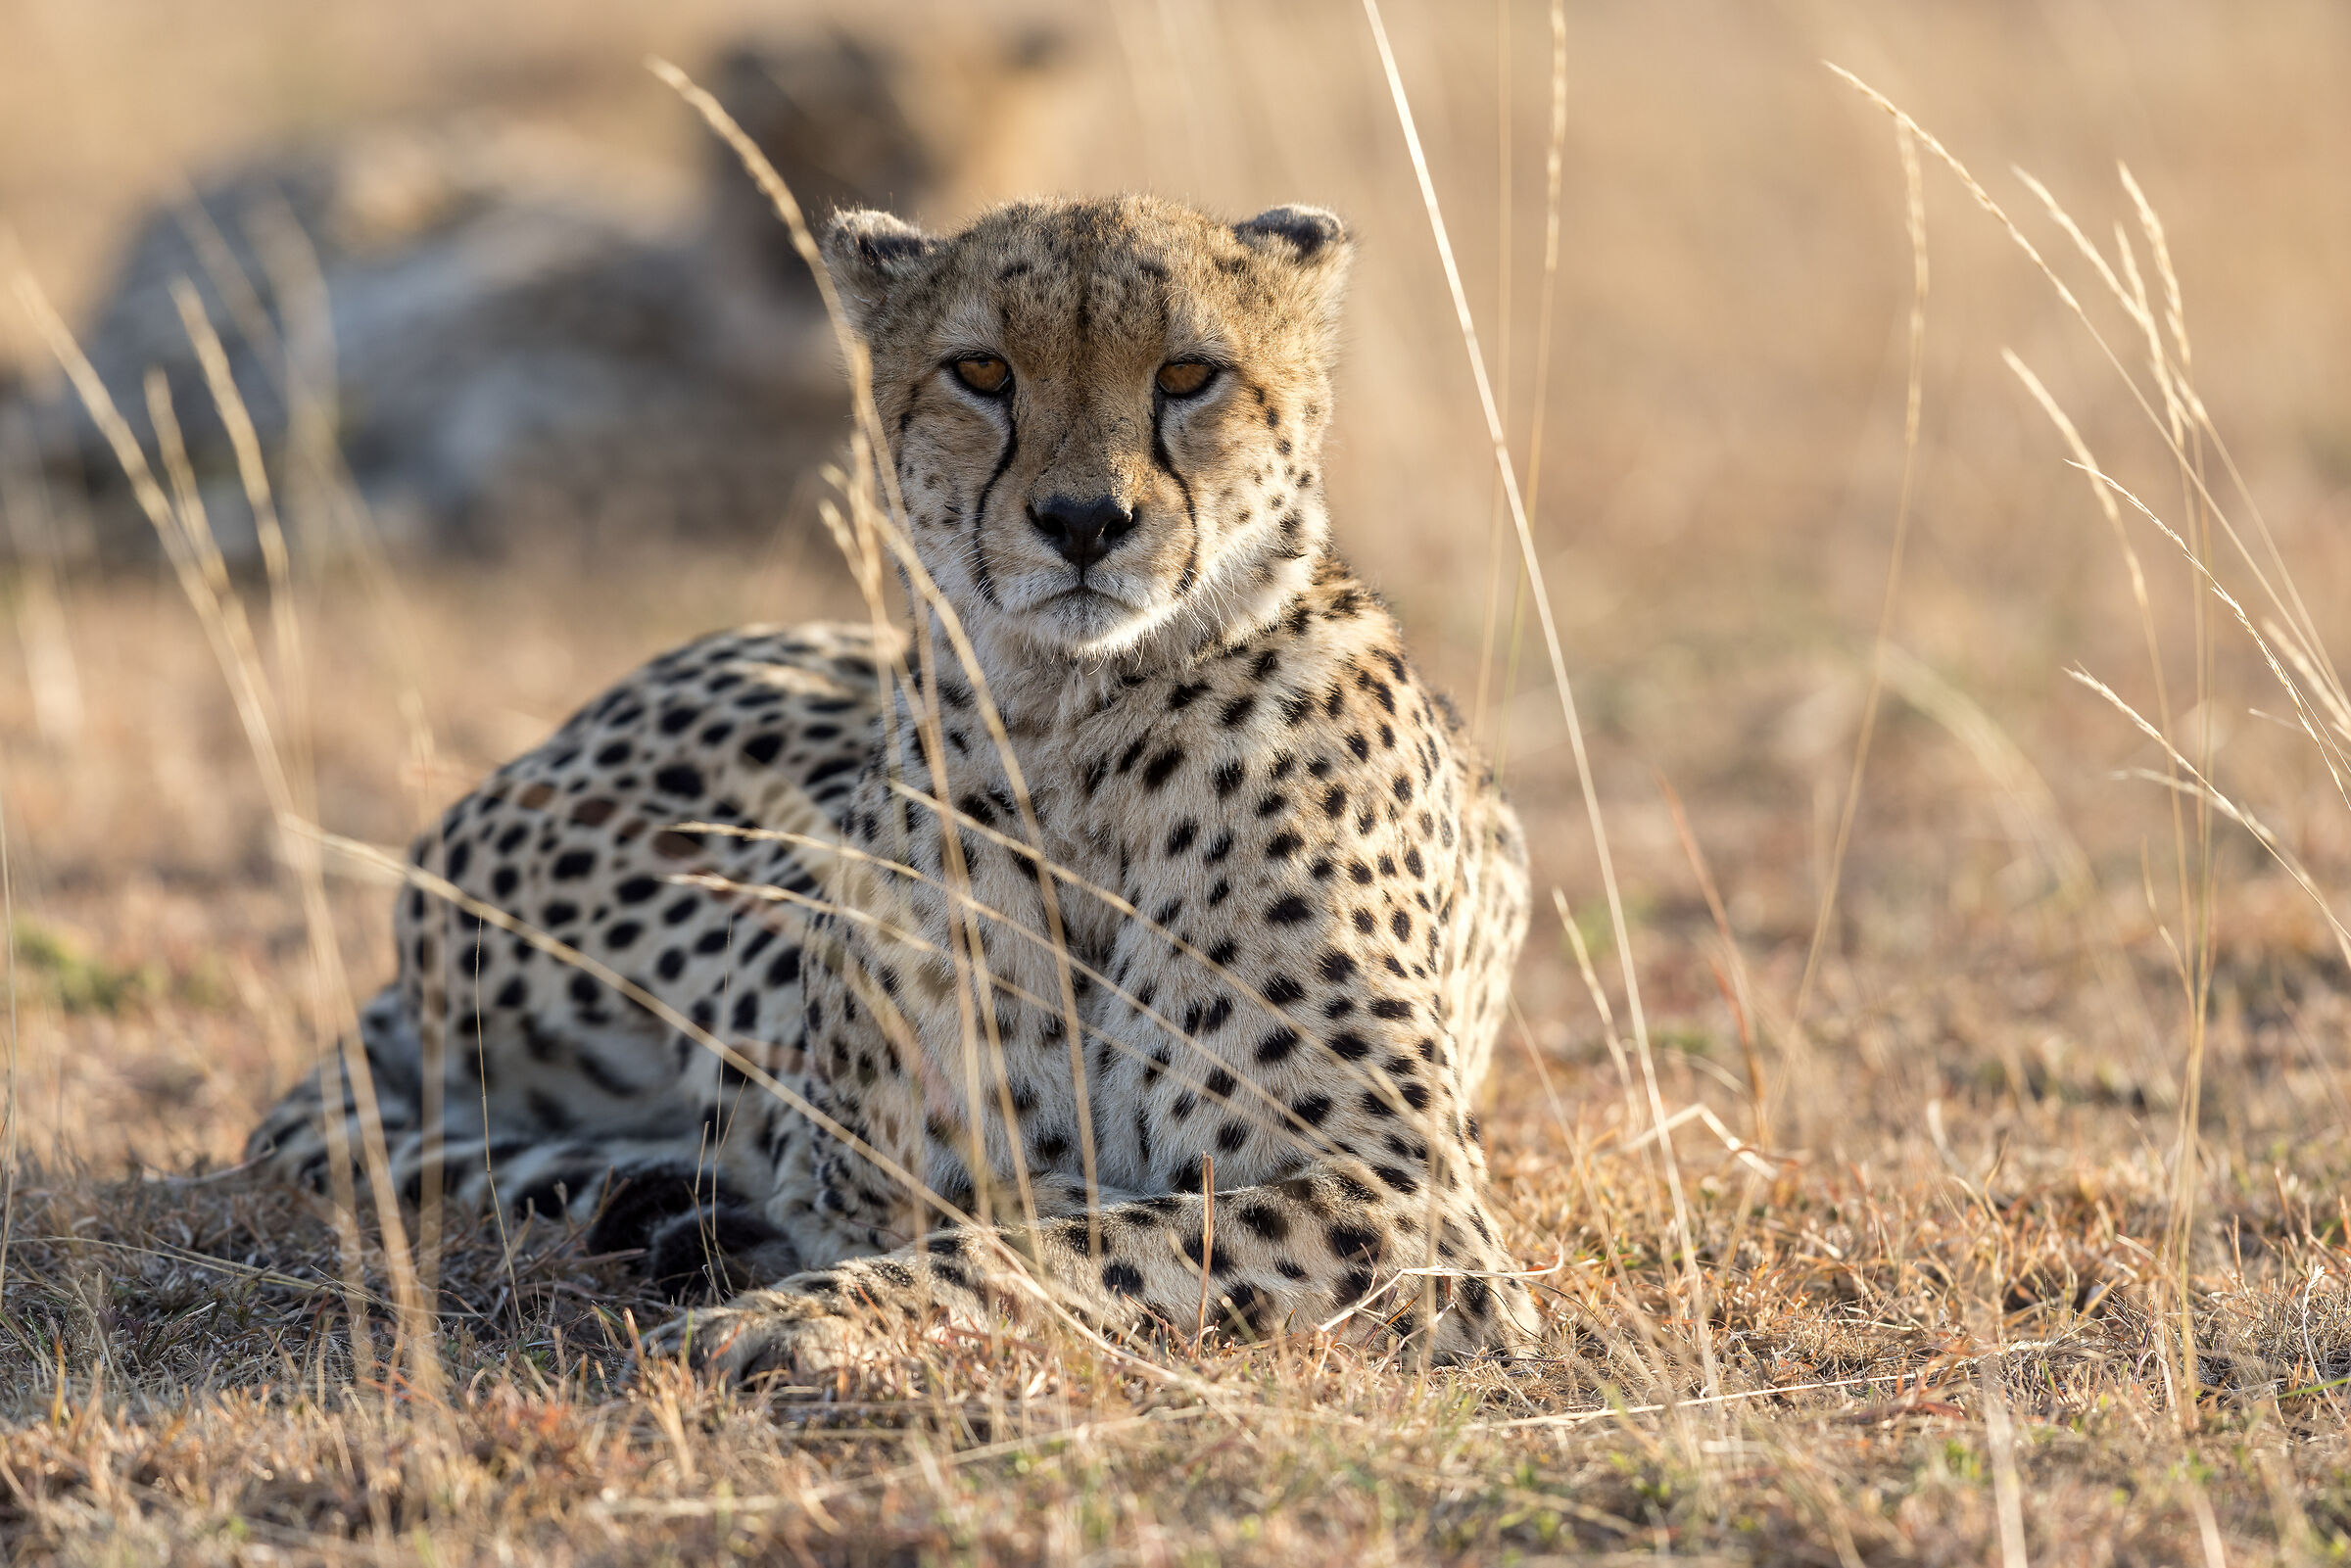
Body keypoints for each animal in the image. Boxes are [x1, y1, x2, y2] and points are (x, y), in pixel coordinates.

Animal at [246, 193, 1539, 1380]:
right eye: (982, 371)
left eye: (1189, 373)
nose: (1084, 520)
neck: (1077, 722)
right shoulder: (868, 1151)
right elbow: (1010, 1210)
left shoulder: (1412, 1202)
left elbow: (1069, 1238)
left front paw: (800, 1314)